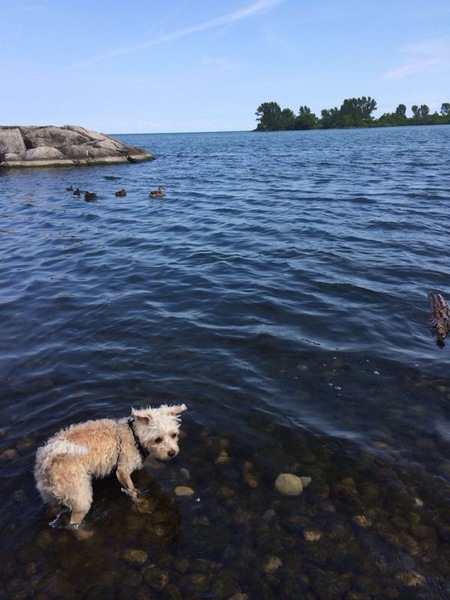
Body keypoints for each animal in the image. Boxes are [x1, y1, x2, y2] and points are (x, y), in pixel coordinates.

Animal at [34, 406, 187, 528]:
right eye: (157, 439)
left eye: (174, 435)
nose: (172, 452)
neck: (134, 435)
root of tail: (47, 458)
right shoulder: (122, 471)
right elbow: (132, 491)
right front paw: (140, 503)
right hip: (79, 496)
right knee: (74, 523)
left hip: (51, 493)